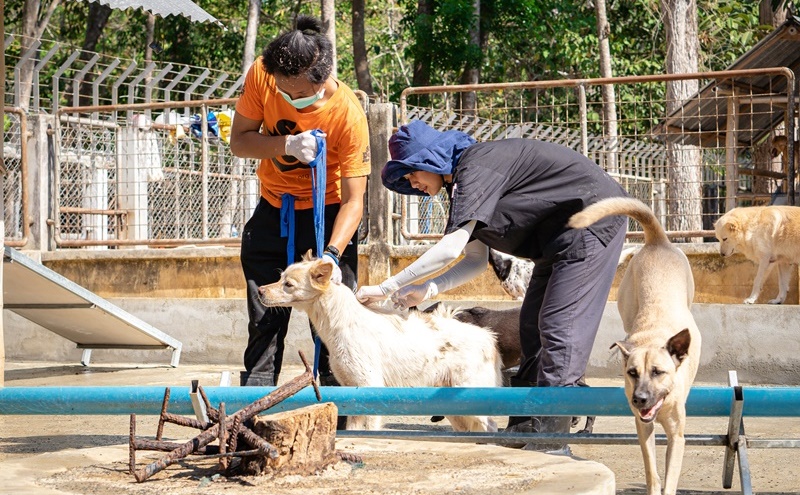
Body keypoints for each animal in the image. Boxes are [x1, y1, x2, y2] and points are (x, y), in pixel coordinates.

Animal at [260, 254, 504, 432]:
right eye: (280, 278)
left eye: (288, 284)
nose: (260, 291)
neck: (342, 321)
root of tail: (488, 337)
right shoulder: (352, 390)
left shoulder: (370, 386)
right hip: (457, 410)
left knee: (491, 425)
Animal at [568, 197, 700, 495]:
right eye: (632, 373)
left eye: (658, 372)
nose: (639, 399)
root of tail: (657, 240)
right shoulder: (643, 427)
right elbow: (652, 471)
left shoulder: (677, 436)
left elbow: (670, 477)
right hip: (626, 300)